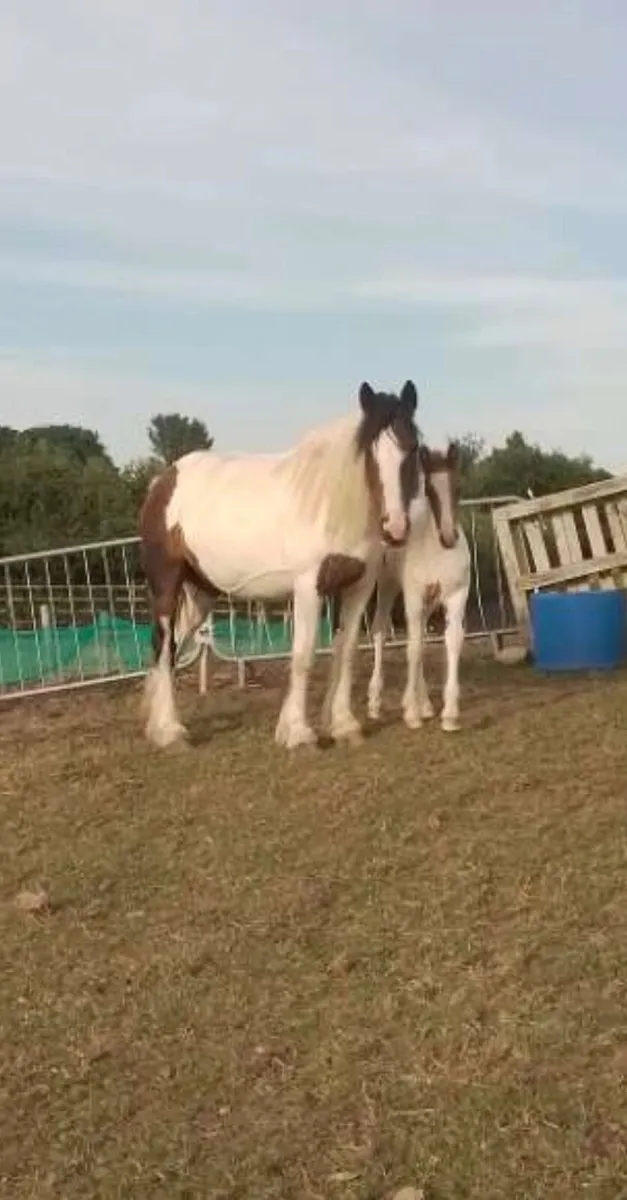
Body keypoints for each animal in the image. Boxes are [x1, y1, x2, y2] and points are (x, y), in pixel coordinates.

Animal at [138, 380, 421, 751]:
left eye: (413, 448)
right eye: (369, 454)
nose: (396, 528)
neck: (333, 505)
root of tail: (163, 480)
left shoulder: (357, 587)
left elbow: (345, 652)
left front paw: (343, 725)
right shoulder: (309, 587)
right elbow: (303, 657)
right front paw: (299, 734)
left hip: (201, 592)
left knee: (170, 648)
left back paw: (158, 727)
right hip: (166, 584)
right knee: (162, 644)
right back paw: (171, 732)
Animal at [366, 442, 471, 733]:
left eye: (458, 487)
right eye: (429, 490)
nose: (449, 537)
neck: (436, 549)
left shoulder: (456, 595)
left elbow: (452, 641)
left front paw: (450, 715)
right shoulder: (413, 596)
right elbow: (412, 649)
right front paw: (411, 714)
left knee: (421, 637)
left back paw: (424, 704)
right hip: (387, 585)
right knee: (380, 631)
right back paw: (376, 703)